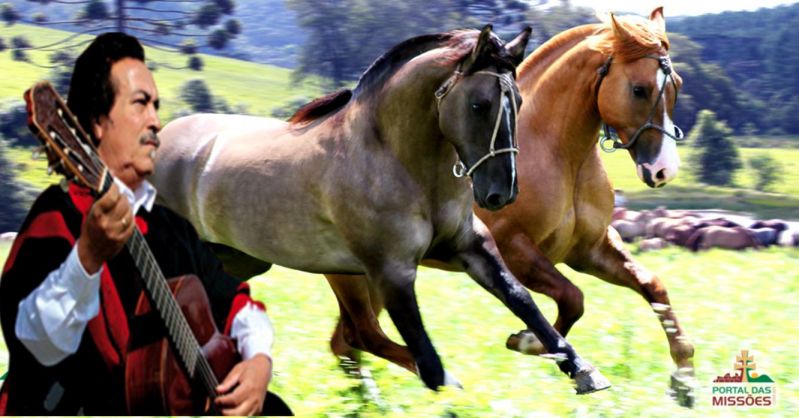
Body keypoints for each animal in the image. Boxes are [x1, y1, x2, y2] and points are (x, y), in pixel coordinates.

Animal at [151, 25, 610, 393]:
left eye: (518, 100)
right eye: (479, 104)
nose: (501, 193)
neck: (399, 162)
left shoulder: (467, 246)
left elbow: (521, 299)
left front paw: (581, 368)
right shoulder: (392, 271)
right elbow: (428, 359)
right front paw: (452, 385)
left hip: (248, 263)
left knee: (353, 336)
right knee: (360, 336)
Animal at [328, 8, 696, 406]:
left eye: (676, 84)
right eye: (639, 89)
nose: (663, 170)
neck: (558, 153)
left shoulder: (590, 250)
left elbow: (653, 288)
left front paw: (684, 381)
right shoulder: (514, 248)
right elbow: (572, 298)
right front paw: (530, 342)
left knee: (346, 342)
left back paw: (371, 401)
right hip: (363, 276)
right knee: (358, 336)